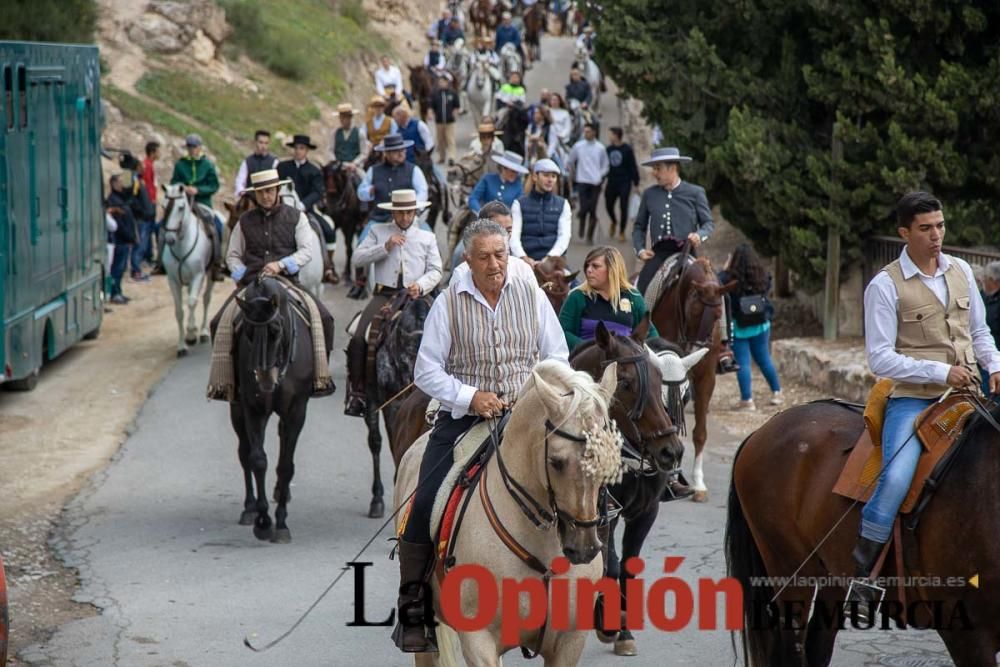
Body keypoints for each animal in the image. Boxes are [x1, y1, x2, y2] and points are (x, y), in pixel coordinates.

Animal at [160, 183, 215, 360]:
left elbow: (191, 302)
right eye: (163, 206)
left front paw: (191, 334)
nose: (170, 239)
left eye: (181, 207)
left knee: (205, 299)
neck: (181, 246)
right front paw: (182, 346)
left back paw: (203, 332)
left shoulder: (198, 275)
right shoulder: (172, 281)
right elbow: (179, 311)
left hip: (210, 274)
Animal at [223, 276, 324, 544]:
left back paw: (281, 493)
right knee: (244, 451)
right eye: (247, 332)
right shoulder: (253, 407)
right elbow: (258, 460)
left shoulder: (296, 410)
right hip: (237, 410)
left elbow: (286, 465)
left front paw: (281, 523)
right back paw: (249, 508)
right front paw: (263, 521)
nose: (265, 379)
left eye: (276, 330)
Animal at [572, 324, 688, 656]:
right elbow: (609, 565)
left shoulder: (646, 512)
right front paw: (607, 622)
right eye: (624, 383)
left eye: (659, 379)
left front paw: (624, 630)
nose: (670, 451)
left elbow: (627, 566)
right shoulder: (605, 514)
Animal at [652, 256, 740, 500]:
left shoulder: (705, 376)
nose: (696, 349)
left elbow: (700, 432)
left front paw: (698, 483)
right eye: (693, 309)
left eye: (719, 314)